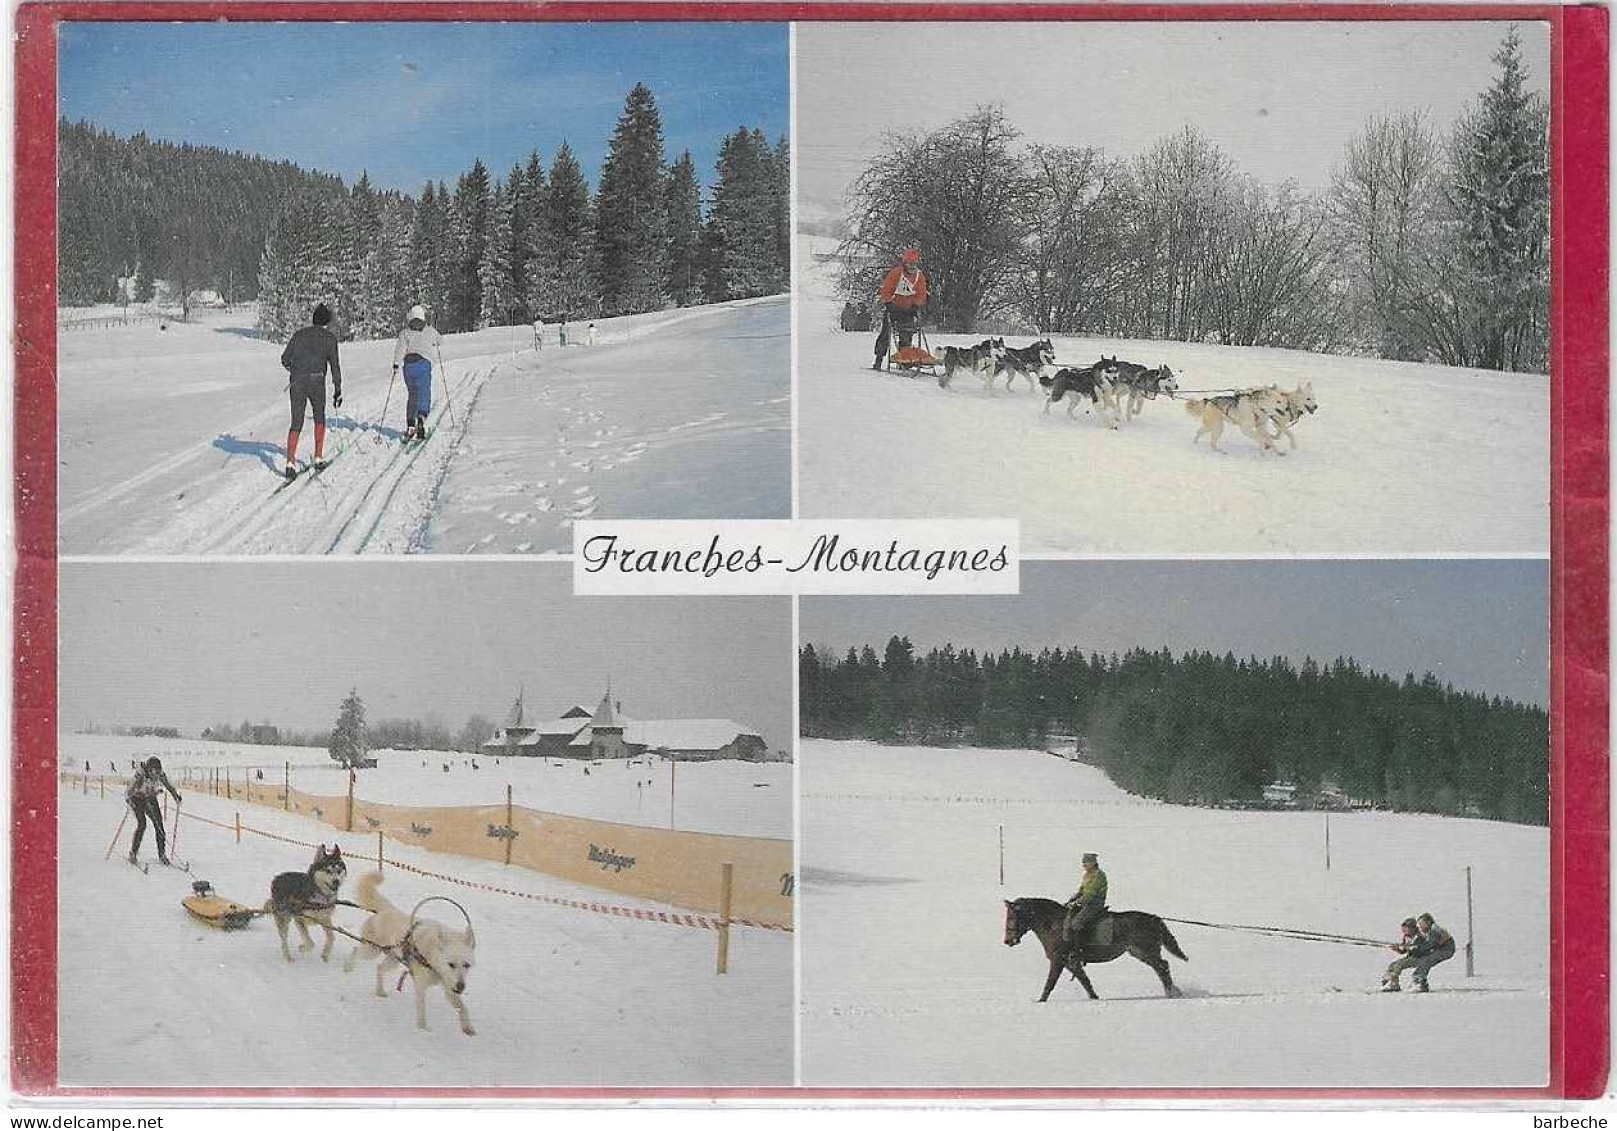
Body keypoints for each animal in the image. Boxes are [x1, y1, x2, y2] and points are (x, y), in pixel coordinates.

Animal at [349, 873, 478, 1042]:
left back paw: (380, 991)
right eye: (451, 964)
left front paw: (467, 1027)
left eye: (466, 965)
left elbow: (463, 1008)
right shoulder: (421, 986)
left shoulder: (449, 987)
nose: (461, 987)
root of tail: (387, 909)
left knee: (379, 968)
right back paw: (347, 967)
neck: (432, 959)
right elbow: (422, 1010)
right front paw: (422, 1030)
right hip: (371, 951)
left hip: (392, 960)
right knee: (356, 950)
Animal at [996, 899, 1190, 1003]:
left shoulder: (1059, 960)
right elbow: (1085, 981)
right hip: (1141, 952)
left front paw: (1041, 1001)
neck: (1053, 924)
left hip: (1145, 951)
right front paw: (1094, 998)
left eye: (1012, 917)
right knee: (1161, 967)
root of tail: (1154, 918)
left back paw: (1172, 993)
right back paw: (1172, 992)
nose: (1008, 941)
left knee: (1162, 967)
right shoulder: (1071, 962)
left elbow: (1050, 982)